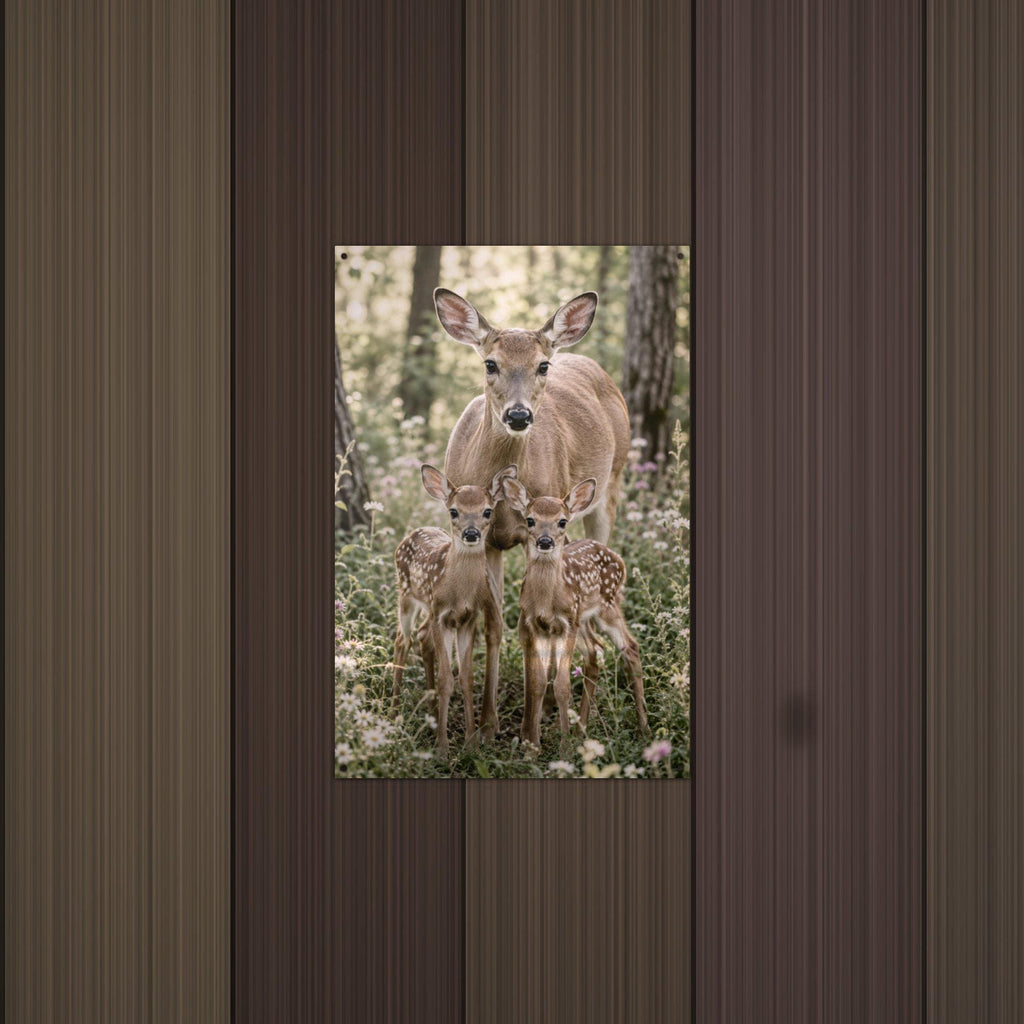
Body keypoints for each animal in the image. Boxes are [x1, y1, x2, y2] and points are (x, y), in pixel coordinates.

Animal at [392, 463, 517, 758]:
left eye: (487, 510)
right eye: (453, 511)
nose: (471, 534)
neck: (458, 591)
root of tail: (412, 533)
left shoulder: (467, 619)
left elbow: (466, 678)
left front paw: (471, 743)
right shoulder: (441, 616)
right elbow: (446, 680)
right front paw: (442, 748)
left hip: (426, 607)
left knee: (421, 638)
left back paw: (430, 713)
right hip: (407, 596)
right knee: (402, 640)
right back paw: (392, 713)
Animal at [433, 288, 631, 633]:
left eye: (542, 366)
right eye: (490, 364)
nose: (518, 415)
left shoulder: (540, 528)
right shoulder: (484, 538)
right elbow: (494, 619)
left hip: (612, 481)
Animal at [501, 475, 650, 750]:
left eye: (562, 521)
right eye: (530, 519)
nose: (545, 541)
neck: (546, 601)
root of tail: (619, 559)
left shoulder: (566, 623)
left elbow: (562, 685)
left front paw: (563, 748)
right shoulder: (537, 626)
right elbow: (538, 683)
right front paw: (533, 748)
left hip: (606, 606)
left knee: (630, 647)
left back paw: (643, 728)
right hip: (583, 620)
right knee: (596, 651)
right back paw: (581, 730)